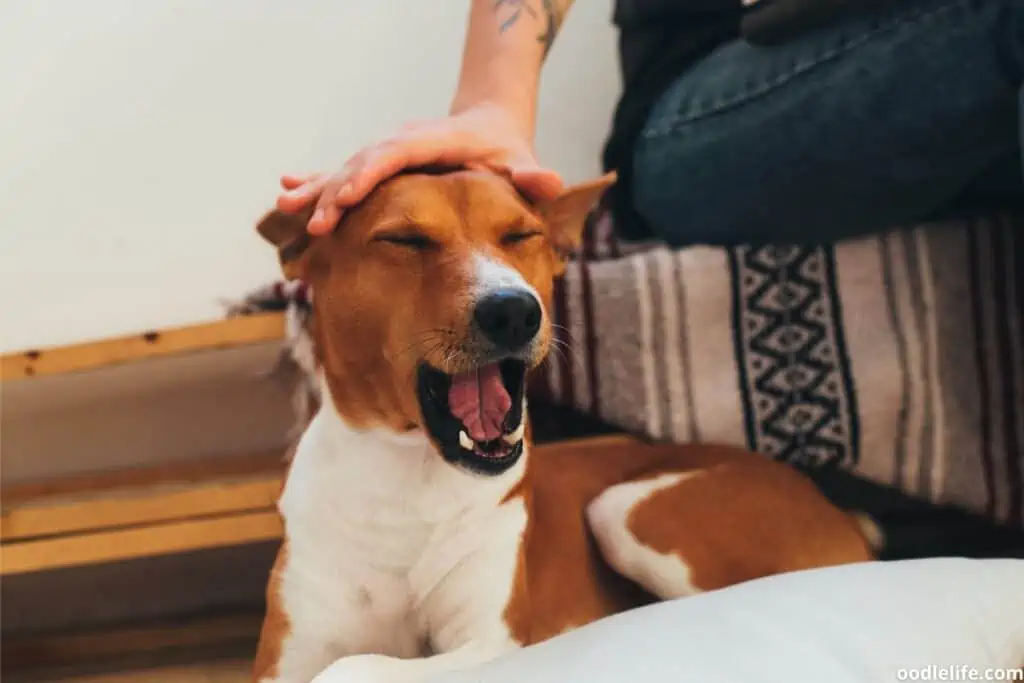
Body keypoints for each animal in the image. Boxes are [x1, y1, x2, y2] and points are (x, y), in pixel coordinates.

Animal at [249, 166, 880, 683]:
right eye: (404, 240)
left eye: (520, 236)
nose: (512, 309)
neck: (407, 479)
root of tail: (833, 507)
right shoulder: (287, 655)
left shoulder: (492, 642)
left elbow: (357, 667)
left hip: (626, 509)